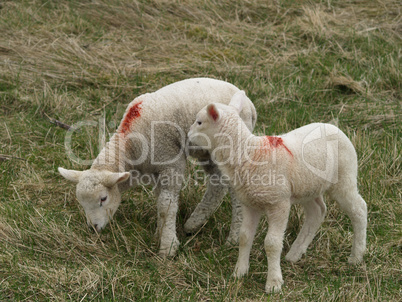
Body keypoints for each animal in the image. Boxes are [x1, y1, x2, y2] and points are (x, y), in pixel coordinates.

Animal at [58, 78, 256, 258]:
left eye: (103, 199)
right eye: (82, 203)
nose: (94, 228)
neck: (130, 145)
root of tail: (249, 103)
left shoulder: (170, 161)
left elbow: (166, 205)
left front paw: (168, 247)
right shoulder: (155, 169)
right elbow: (160, 200)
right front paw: (159, 233)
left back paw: (233, 238)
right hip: (206, 153)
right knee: (217, 185)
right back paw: (194, 223)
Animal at [188, 91, 368, 292]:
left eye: (199, 122)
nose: (187, 136)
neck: (249, 154)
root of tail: (333, 127)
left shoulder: (278, 203)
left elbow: (272, 243)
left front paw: (273, 283)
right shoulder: (251, 203)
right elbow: (244, 237)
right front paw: (239, 272)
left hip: (344, 177)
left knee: (359, 209)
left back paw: (356, 255)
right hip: (307, 186)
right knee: (317, 212)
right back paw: (295, 253)